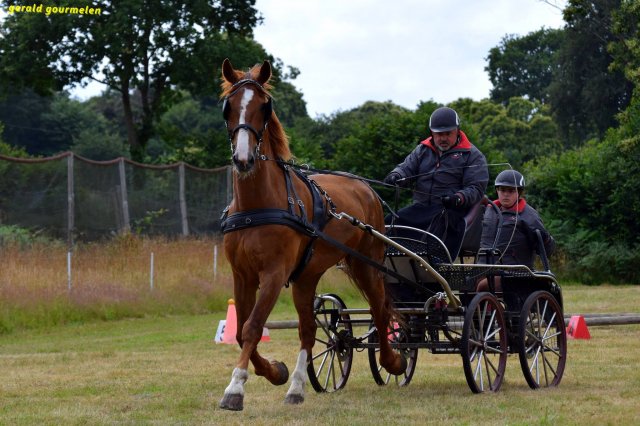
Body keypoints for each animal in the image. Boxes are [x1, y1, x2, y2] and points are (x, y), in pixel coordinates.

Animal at [217, 58, 407, 411]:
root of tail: (366, 188)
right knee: (308, 329)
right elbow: (240, 331)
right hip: (307, 276)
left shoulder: (275, 273)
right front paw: (276, 372)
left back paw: (394, 362)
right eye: (228, 107)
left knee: (380, 308)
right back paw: (296, 387)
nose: (244, 159)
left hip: (367, 264)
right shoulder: (243, 275)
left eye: (264, 106)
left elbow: (252, 327)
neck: (257, 203)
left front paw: (235, 389)